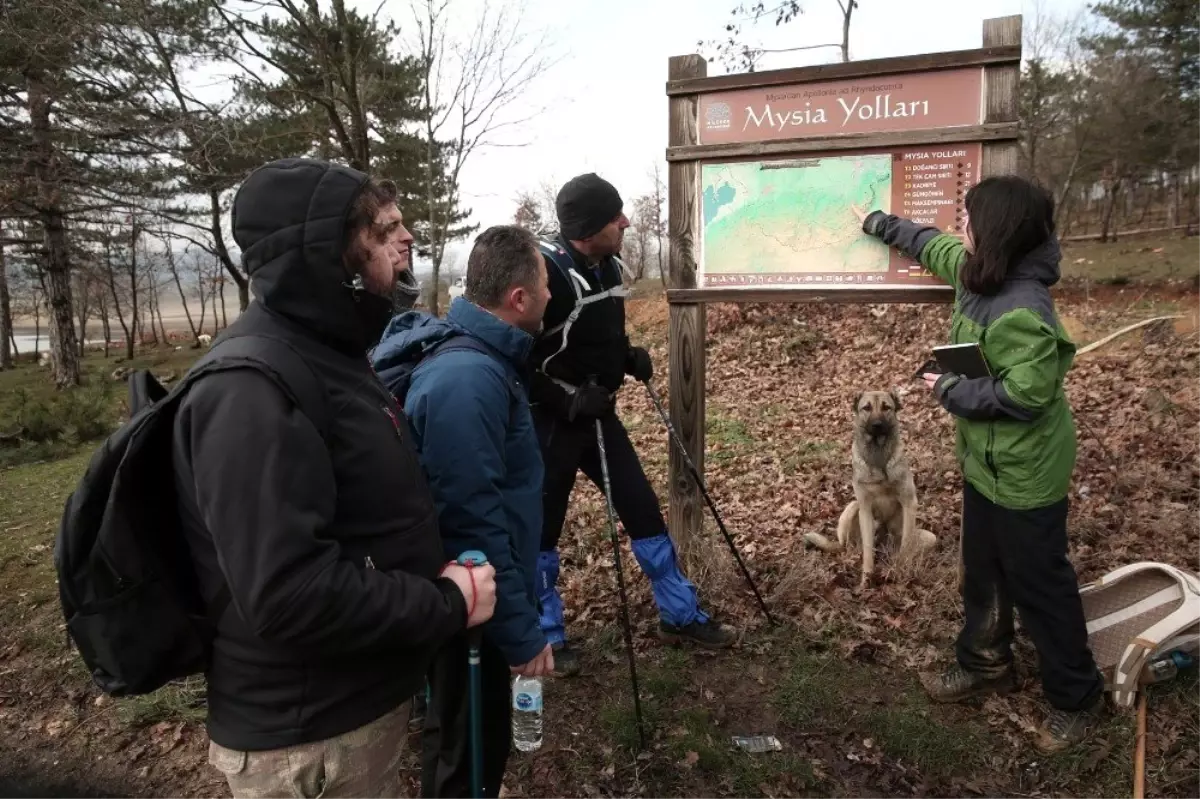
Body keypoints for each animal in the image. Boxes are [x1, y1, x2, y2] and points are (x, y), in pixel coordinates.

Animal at [806, 391, 936, 585]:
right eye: (866, 408)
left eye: (886, 407)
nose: (877, 425)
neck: (878, 455)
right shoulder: (865, 509)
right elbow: (868, 550)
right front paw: (866, 579)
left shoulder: (909, 503)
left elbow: (906, 544)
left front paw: (902, 569)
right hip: (853, 507)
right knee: (848, 547)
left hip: (926, 538)